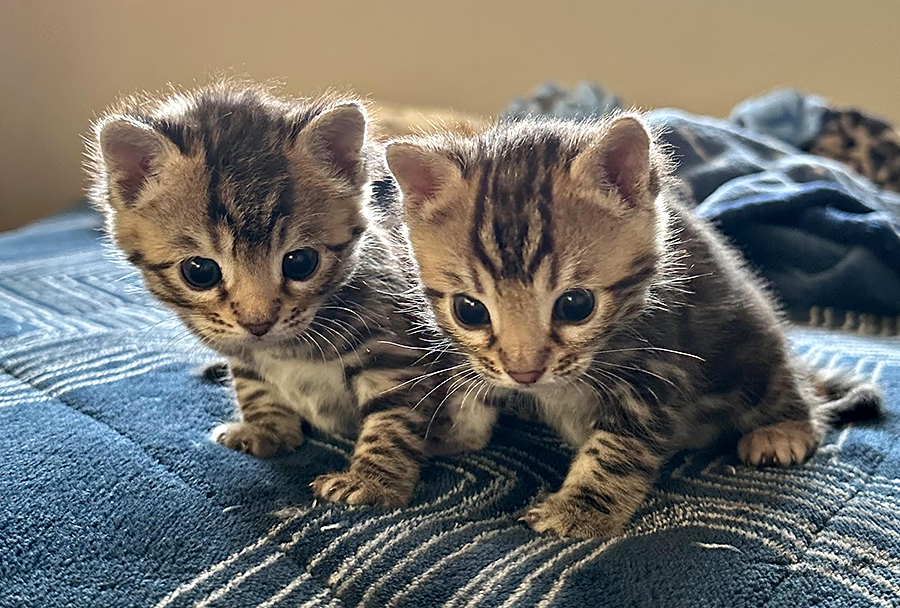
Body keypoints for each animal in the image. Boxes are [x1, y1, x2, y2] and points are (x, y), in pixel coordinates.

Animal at [87, 82, 496, 508]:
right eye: (199, 271)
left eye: (300, 262)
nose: (258, 323)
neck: (284, 348)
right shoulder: (239, 349)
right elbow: (253, 386)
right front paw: (266, 431)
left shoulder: (396, 351)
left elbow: (393, 419)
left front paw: (372, 481)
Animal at [384, 113, 880, 536]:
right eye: (469, 310)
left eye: (576, 305)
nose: (525, 374)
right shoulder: (479, 359)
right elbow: (473, 390)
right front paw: (445, 432)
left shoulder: (658, 368)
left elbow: (618, 449)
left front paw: (579, 510)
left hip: (751, 342)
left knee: (784, 386)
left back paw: (785, 429)